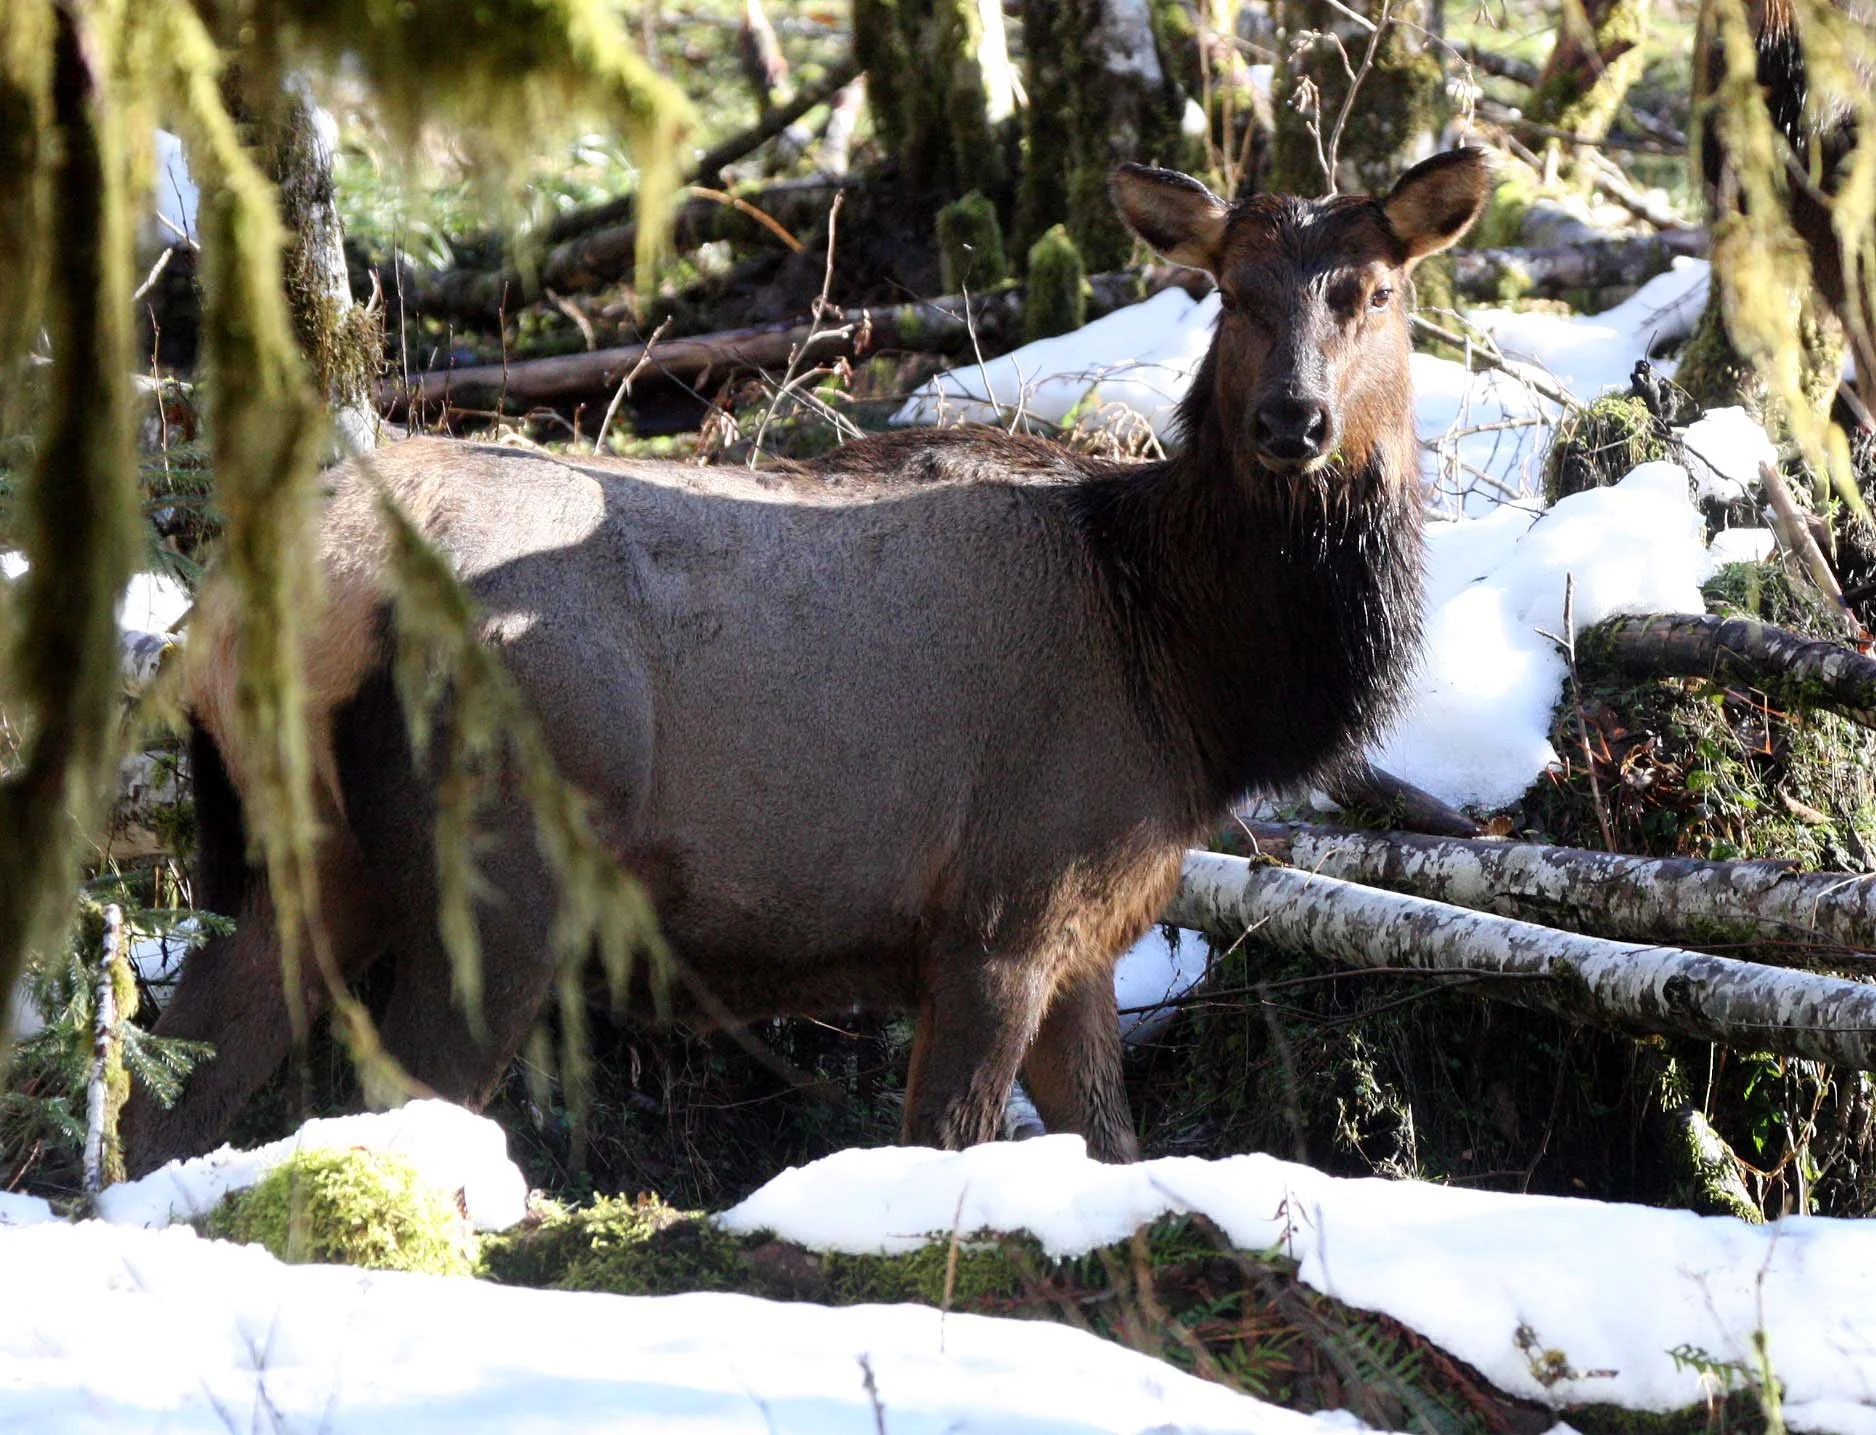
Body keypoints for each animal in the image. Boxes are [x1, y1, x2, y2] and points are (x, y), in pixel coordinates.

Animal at [124, 149, 1492, 1177]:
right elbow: (948, 1148)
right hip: (500, 865)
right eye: (1230, 291)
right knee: (391, 1105)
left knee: (171, 1092)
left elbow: (1112, 1147)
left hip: (306, 855)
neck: (1191, 683)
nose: (1292, 422)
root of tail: (255, 598)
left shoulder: (1085, 930)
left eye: (1373, 289)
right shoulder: (1003, 906)